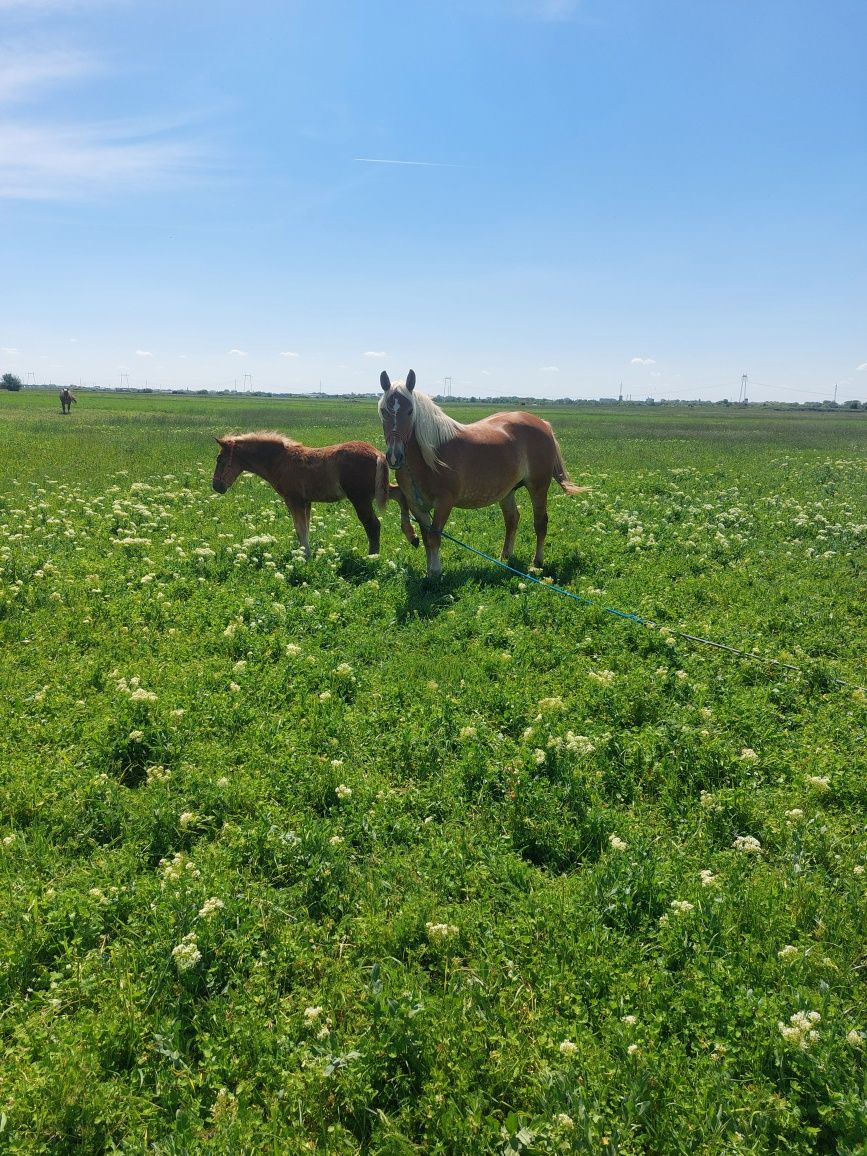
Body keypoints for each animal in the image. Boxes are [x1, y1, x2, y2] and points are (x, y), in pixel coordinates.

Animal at [212, 434, 418, 559]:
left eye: (220, 459)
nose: (216, 486)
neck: (281, 461)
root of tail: (377, 453)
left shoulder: (293, 499)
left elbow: (300, 527)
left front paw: (305, 556)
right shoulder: (306, 501)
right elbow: (306, 527)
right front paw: (304, 552)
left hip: (360, 498)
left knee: (373, 525)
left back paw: (372, 557)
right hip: (378, 490)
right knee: (400, 495)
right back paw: (412, 536)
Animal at [376, 369, 587, 578]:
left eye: (410, 411)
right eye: (384, 411)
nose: (394, 456)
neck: (429, 457)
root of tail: (542, 423)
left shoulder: (444, 503)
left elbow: (435, 537)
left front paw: (435, 573)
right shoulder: (417, 506)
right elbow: (427, 539)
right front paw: (429, 571)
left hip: (538, 486)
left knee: (540, 522)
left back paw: (536, 563)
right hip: (507, 492)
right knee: (512, 519)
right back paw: (505, 557)